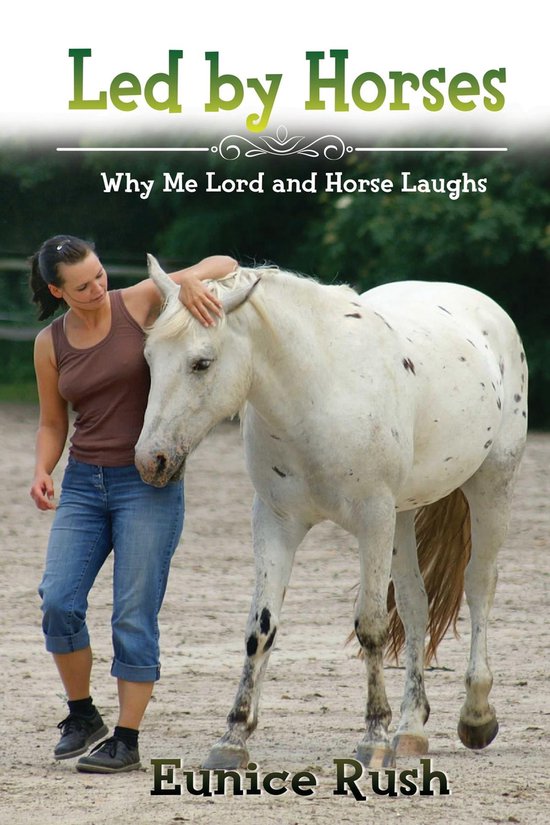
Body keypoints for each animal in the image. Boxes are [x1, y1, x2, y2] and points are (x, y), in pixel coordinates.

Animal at [135, 255, 528, 771]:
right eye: (149, 358)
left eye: (202, 362)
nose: (151, 461)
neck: (317, 394)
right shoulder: (276, 522)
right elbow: (260, 629)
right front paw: (233, 738)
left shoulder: (373, 520)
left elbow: (372, 627)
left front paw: (374, 737)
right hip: (404, 516)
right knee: (416, 606)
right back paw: (411, 729)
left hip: (490, 487)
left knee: (479, 586)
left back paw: (476, 715)